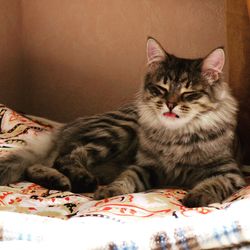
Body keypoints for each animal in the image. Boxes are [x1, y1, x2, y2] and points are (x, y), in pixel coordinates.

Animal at [0, 37, 246, 208]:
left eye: (189, 94)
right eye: (161, 89)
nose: (170, 105)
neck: (177, 136)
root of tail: (61, 130)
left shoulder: (229, 172)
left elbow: (213, 183)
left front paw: (197, 196)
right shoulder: (146, 167)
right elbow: (127, 179)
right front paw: (108, 192)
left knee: (39, 164)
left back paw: (60, 181)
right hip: (119, 130)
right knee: (65, 157)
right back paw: (80, 179)